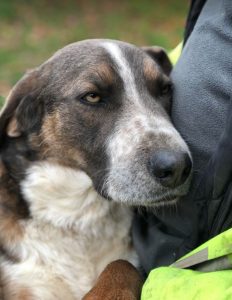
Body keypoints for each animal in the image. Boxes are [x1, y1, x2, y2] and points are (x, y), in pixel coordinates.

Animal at [0, 39, 192, 300]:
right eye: (92, 96)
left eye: (164, 89)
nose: (178, 166)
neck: (79, 218)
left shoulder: (126, 259)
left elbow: (121, 264)